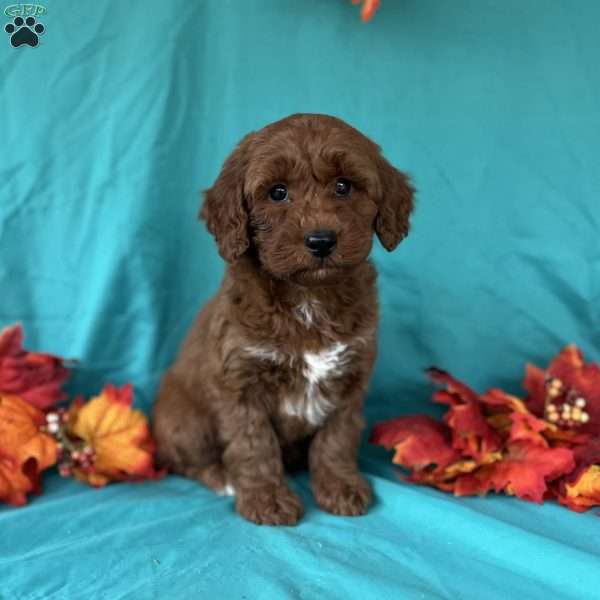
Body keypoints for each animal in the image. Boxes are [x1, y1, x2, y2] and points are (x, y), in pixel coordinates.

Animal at [151, 113, 412, 524]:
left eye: (343, 186)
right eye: (277, 193)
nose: (321, 240)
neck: (308, 298)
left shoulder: (351, 377)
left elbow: (337, 438)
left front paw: (340, 487)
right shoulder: (240, 382)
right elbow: (253, 445)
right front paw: (267, 499)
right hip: (182, 419)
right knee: (185, 459)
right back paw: (222, 478)